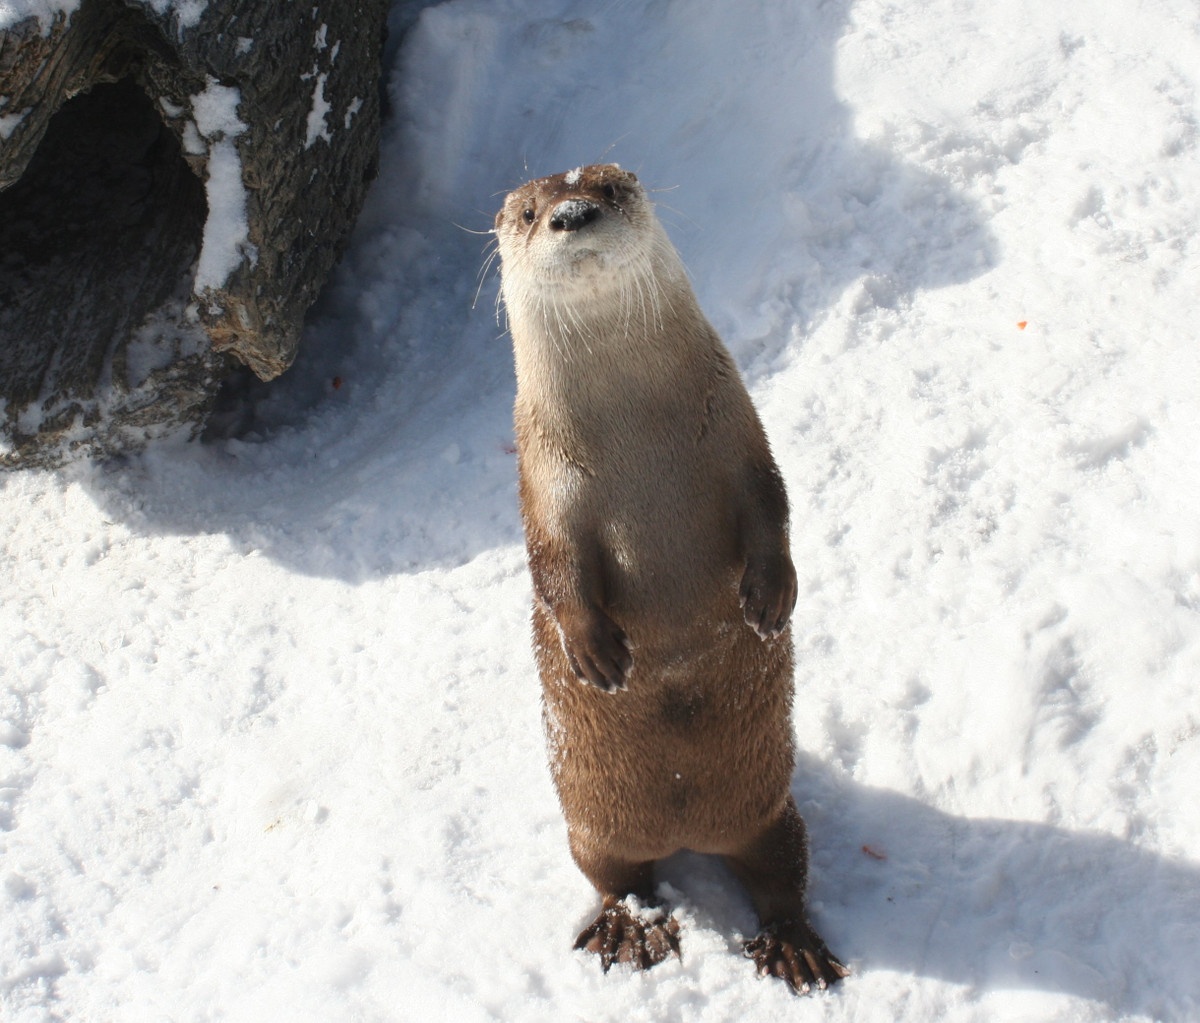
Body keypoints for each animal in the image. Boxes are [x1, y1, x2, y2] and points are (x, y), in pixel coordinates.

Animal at [494, 163, 848, 994]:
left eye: (608, 188)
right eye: (528, 213)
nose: (571, 213)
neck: (637, 437)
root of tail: (689, 831)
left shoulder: (739, 430)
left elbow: (773, 500)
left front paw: (771, 597)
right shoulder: (546, 482)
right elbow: (553, 565)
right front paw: (597, 653)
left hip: (767, 811)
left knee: (782, 872)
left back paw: (792, 945)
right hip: (592, 823)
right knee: (617, 876)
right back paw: (632, 929)